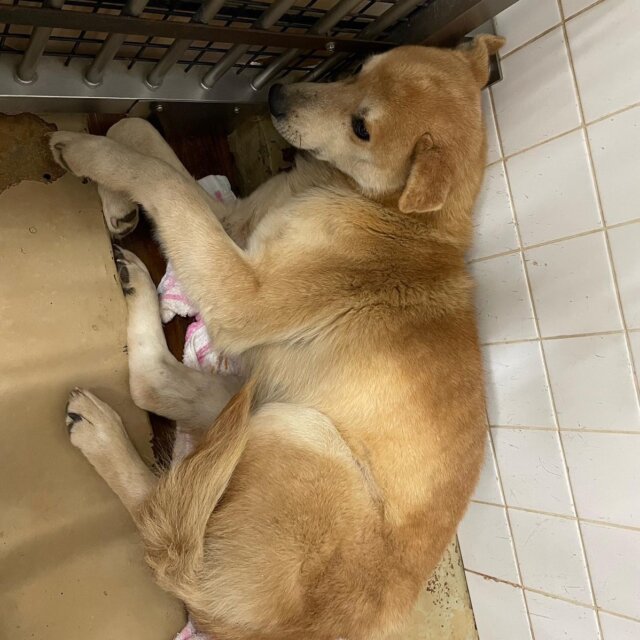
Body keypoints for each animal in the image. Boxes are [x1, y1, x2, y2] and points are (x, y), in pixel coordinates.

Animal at [51, 34, 504, 640]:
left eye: (362, 128)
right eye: (362, 67)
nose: (275, 94)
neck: (389, 211)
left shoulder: (243, 291)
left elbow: (162, 179)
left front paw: (87, 154)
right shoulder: (239, 223)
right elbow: (145, 141)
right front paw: (117, 197)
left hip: (298, 427)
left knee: (158, 515)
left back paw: (100, 435)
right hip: (258, 402)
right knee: (152, 387)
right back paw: (134, 289)